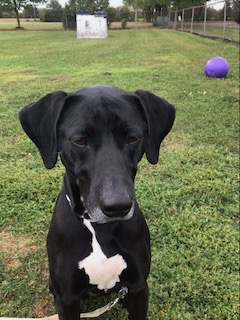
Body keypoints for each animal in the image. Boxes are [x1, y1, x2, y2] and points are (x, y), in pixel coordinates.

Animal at [19, 85, 174, 320]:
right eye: (80, 141)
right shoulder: (66, 299)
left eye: (133, 138)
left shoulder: (139, 288)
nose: (117, 206)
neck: (98, 228)